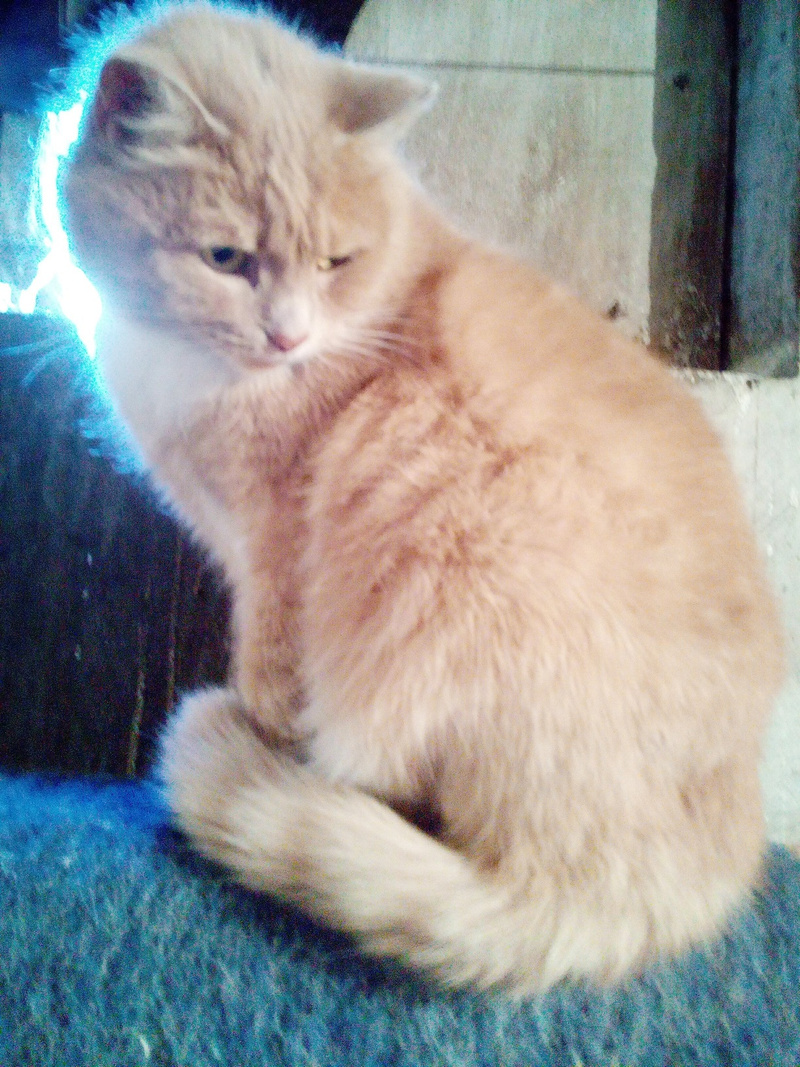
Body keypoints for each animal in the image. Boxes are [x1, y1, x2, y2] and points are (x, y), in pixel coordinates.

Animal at [63, 0, 785, 994]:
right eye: (226, 257)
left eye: (336, 260)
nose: (287, 336)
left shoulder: (276, 544)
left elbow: (270, 666)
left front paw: (264, 734)